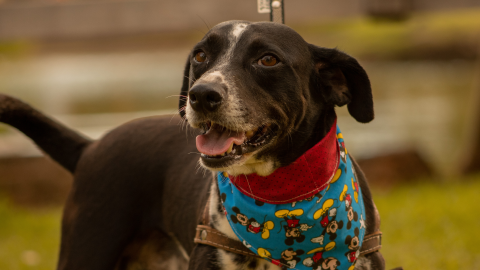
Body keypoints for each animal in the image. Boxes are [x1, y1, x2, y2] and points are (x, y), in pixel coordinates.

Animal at [0, 20, 386, 268]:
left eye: (268, 59)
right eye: (201, 56)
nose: (201, 94)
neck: (283, 197)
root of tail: (90, 147)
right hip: (86, 250)